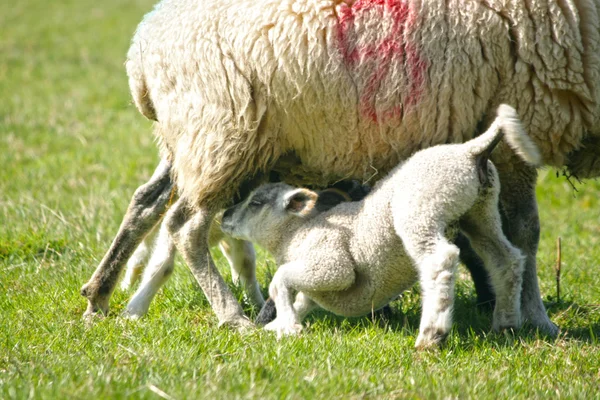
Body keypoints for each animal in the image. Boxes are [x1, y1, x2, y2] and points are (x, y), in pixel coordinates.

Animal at [79, 0, 600, 334]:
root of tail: (142, 48)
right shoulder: (523, 126)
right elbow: (525, 231)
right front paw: (537, 318)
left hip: (196, 142)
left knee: (148, 204)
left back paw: (101, 297)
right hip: (221, 134)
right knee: (185, 227)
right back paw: (232, 316)